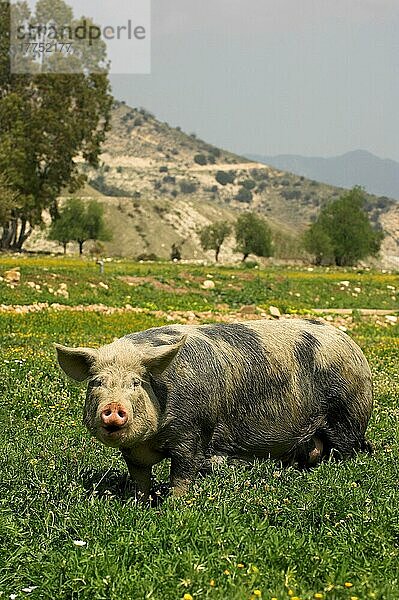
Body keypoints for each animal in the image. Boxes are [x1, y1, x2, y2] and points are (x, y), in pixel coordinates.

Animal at [56, 318, 376, 502]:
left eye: (136, 382)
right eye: (97, 382)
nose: (113, 407)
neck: (153, 439)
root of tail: (354, 347)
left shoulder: (192, 431)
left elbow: (183, 473)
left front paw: (174, 506)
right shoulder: (133, 451)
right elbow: (140, 477)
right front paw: (139, 504)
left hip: (346, 415)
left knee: (347, 451)